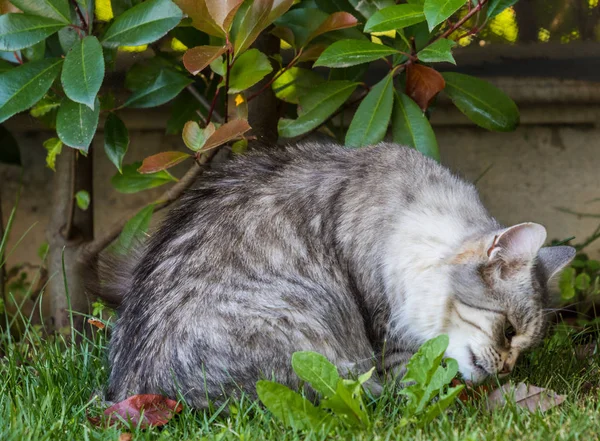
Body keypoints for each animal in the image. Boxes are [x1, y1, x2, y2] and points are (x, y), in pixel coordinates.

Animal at [104, 143, 576, 408]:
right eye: (508, 331)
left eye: (525, 346)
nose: (509, 369)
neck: (408, 217)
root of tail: (137, 387)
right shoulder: (387, 327)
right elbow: (418, 383)